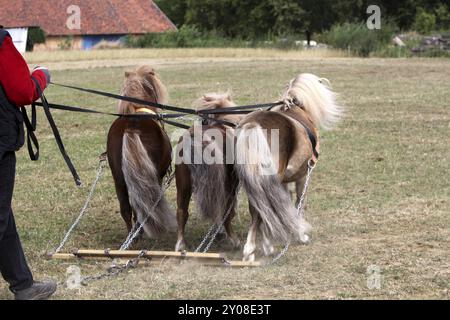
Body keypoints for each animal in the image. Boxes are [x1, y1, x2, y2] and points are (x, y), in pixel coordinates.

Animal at [174, 93, 243, 252]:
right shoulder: (231, 185)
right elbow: (228, 211)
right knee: (226, 212)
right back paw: (235, 240)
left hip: (183, 186)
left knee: (181, 212)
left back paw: (180, 244)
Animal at [236, 74, 342, 262]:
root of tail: (253, 125)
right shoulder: (303, 176)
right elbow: (299, 203)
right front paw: (301, 235)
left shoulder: (284, 181)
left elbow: (284, 202)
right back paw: (264, 247)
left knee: (258, 208)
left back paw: (255, 248)